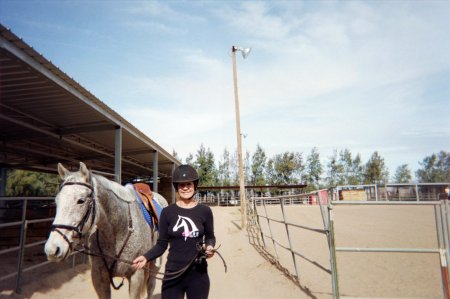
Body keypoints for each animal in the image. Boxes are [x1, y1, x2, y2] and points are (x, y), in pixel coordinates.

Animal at [44, 163, 168, 298]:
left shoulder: (136, 276)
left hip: (154, 265)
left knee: (151, 286)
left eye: (81, 200)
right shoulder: (99, 278)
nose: (52, 249)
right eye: (56, 201)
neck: (118, 231)